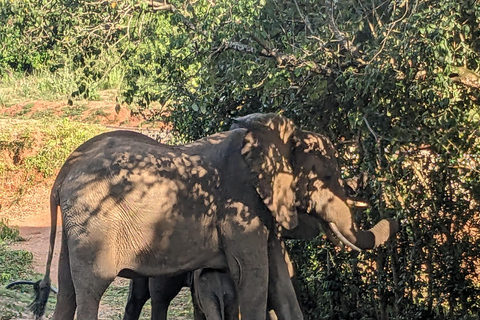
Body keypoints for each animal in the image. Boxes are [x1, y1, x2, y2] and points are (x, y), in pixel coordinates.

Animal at [29, 112, 398, 320]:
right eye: (327, 176)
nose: (393, 218)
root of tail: (63, 173)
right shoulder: (241, 212)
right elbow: (254, 279)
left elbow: (280, 283)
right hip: (96, 227)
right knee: (91, 289)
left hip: (78, 229)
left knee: (68, 291)